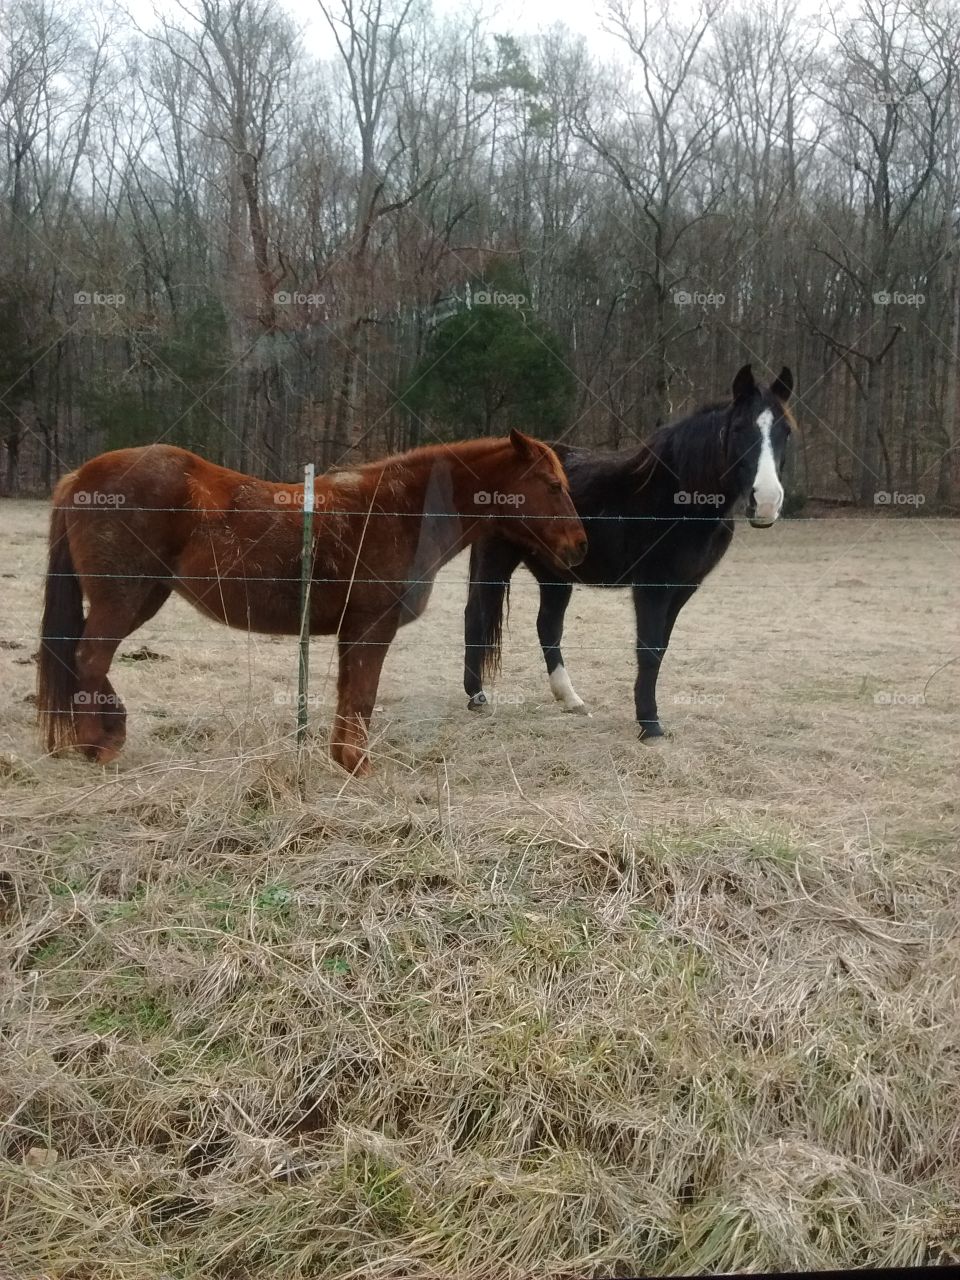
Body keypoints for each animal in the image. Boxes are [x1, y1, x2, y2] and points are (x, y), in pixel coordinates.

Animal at [38, 432, 587, 775]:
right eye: (553, 485)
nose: (580, 547)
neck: (397, 511)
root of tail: (78, 478)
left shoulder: (353, 631)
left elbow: (350, 695)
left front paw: (342, 759)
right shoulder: (371, 628)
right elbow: (362, 696)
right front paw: (358, 765)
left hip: (142, 597)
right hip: (124, 598)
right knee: (89, 657)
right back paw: (99, 744)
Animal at [463, 363, 795, 737]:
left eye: (786, 431)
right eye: (738, 429)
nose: (766, 502)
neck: (679, 496)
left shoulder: (683, 587)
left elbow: (660, 648)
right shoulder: (652, 585)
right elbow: (648, 649)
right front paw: (650, 726)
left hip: (555, 573)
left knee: (547, 626)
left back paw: (570, 699)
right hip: (496, 560)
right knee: (476, 616)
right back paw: (477, 697)